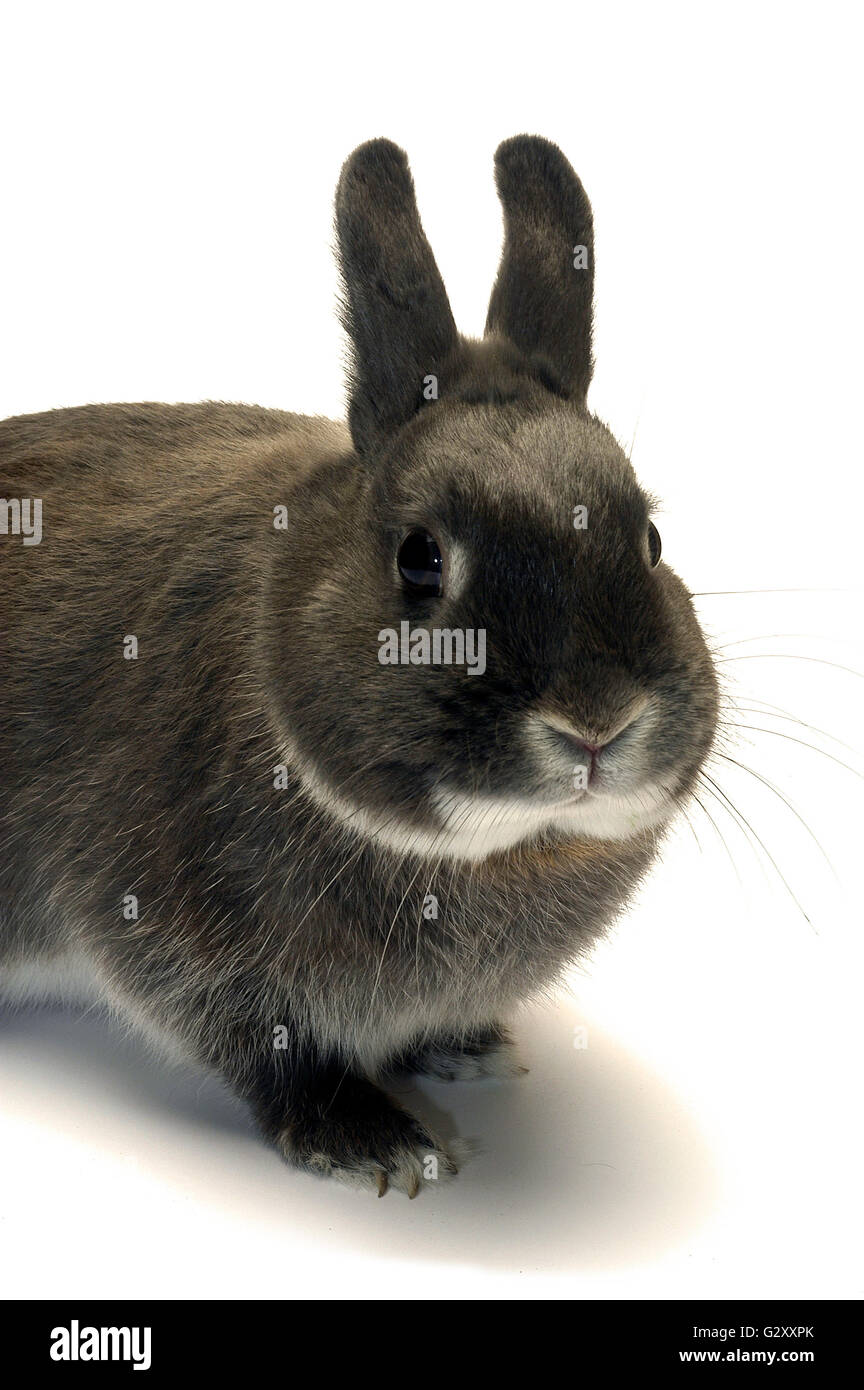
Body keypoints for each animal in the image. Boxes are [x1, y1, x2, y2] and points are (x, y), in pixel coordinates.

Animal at [0, 135, 718, 1196]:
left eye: (654, 541)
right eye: (419, 559)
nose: (597, 721)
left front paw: (467, 1048)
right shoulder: (180, 938)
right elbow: (264, 1050)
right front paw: (376, 1144)